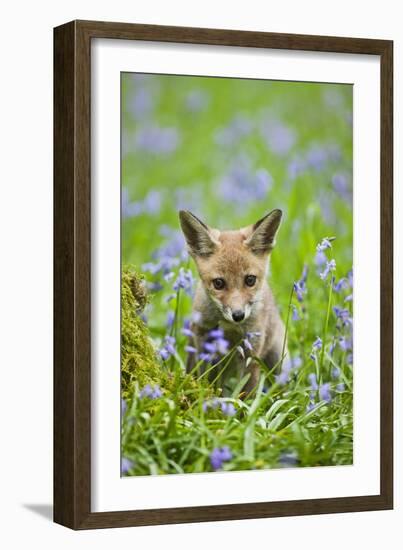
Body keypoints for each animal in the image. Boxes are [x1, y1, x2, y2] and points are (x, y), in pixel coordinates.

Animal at [180, 210, 288, 396]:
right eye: (218, 283)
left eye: (250, 280)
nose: (238, 315)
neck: (229, 329)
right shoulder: (203, 340)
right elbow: (205, 380)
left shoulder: (250, 351)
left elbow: (245, 394)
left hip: (278, 360)